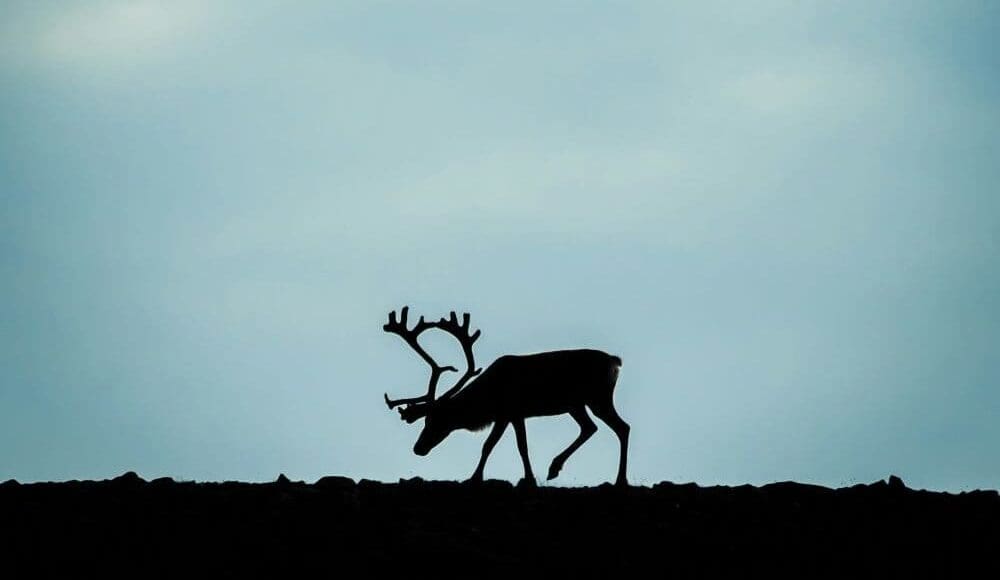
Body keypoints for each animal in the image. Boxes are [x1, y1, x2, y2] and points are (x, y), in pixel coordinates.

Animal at [382, 306, 629, 487]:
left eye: (437, 420)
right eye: (425, 420)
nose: (418, 448)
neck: (486, 399)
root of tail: (615, 361)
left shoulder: (508, 412)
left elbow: (497, 445)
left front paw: (477, 477)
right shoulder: (512, 415)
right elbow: (512, 445)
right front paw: (525, 477)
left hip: (597, 398)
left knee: (622, 427)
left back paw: (620, 480)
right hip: (576, 404)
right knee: (590, 427)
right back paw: (554, 467)